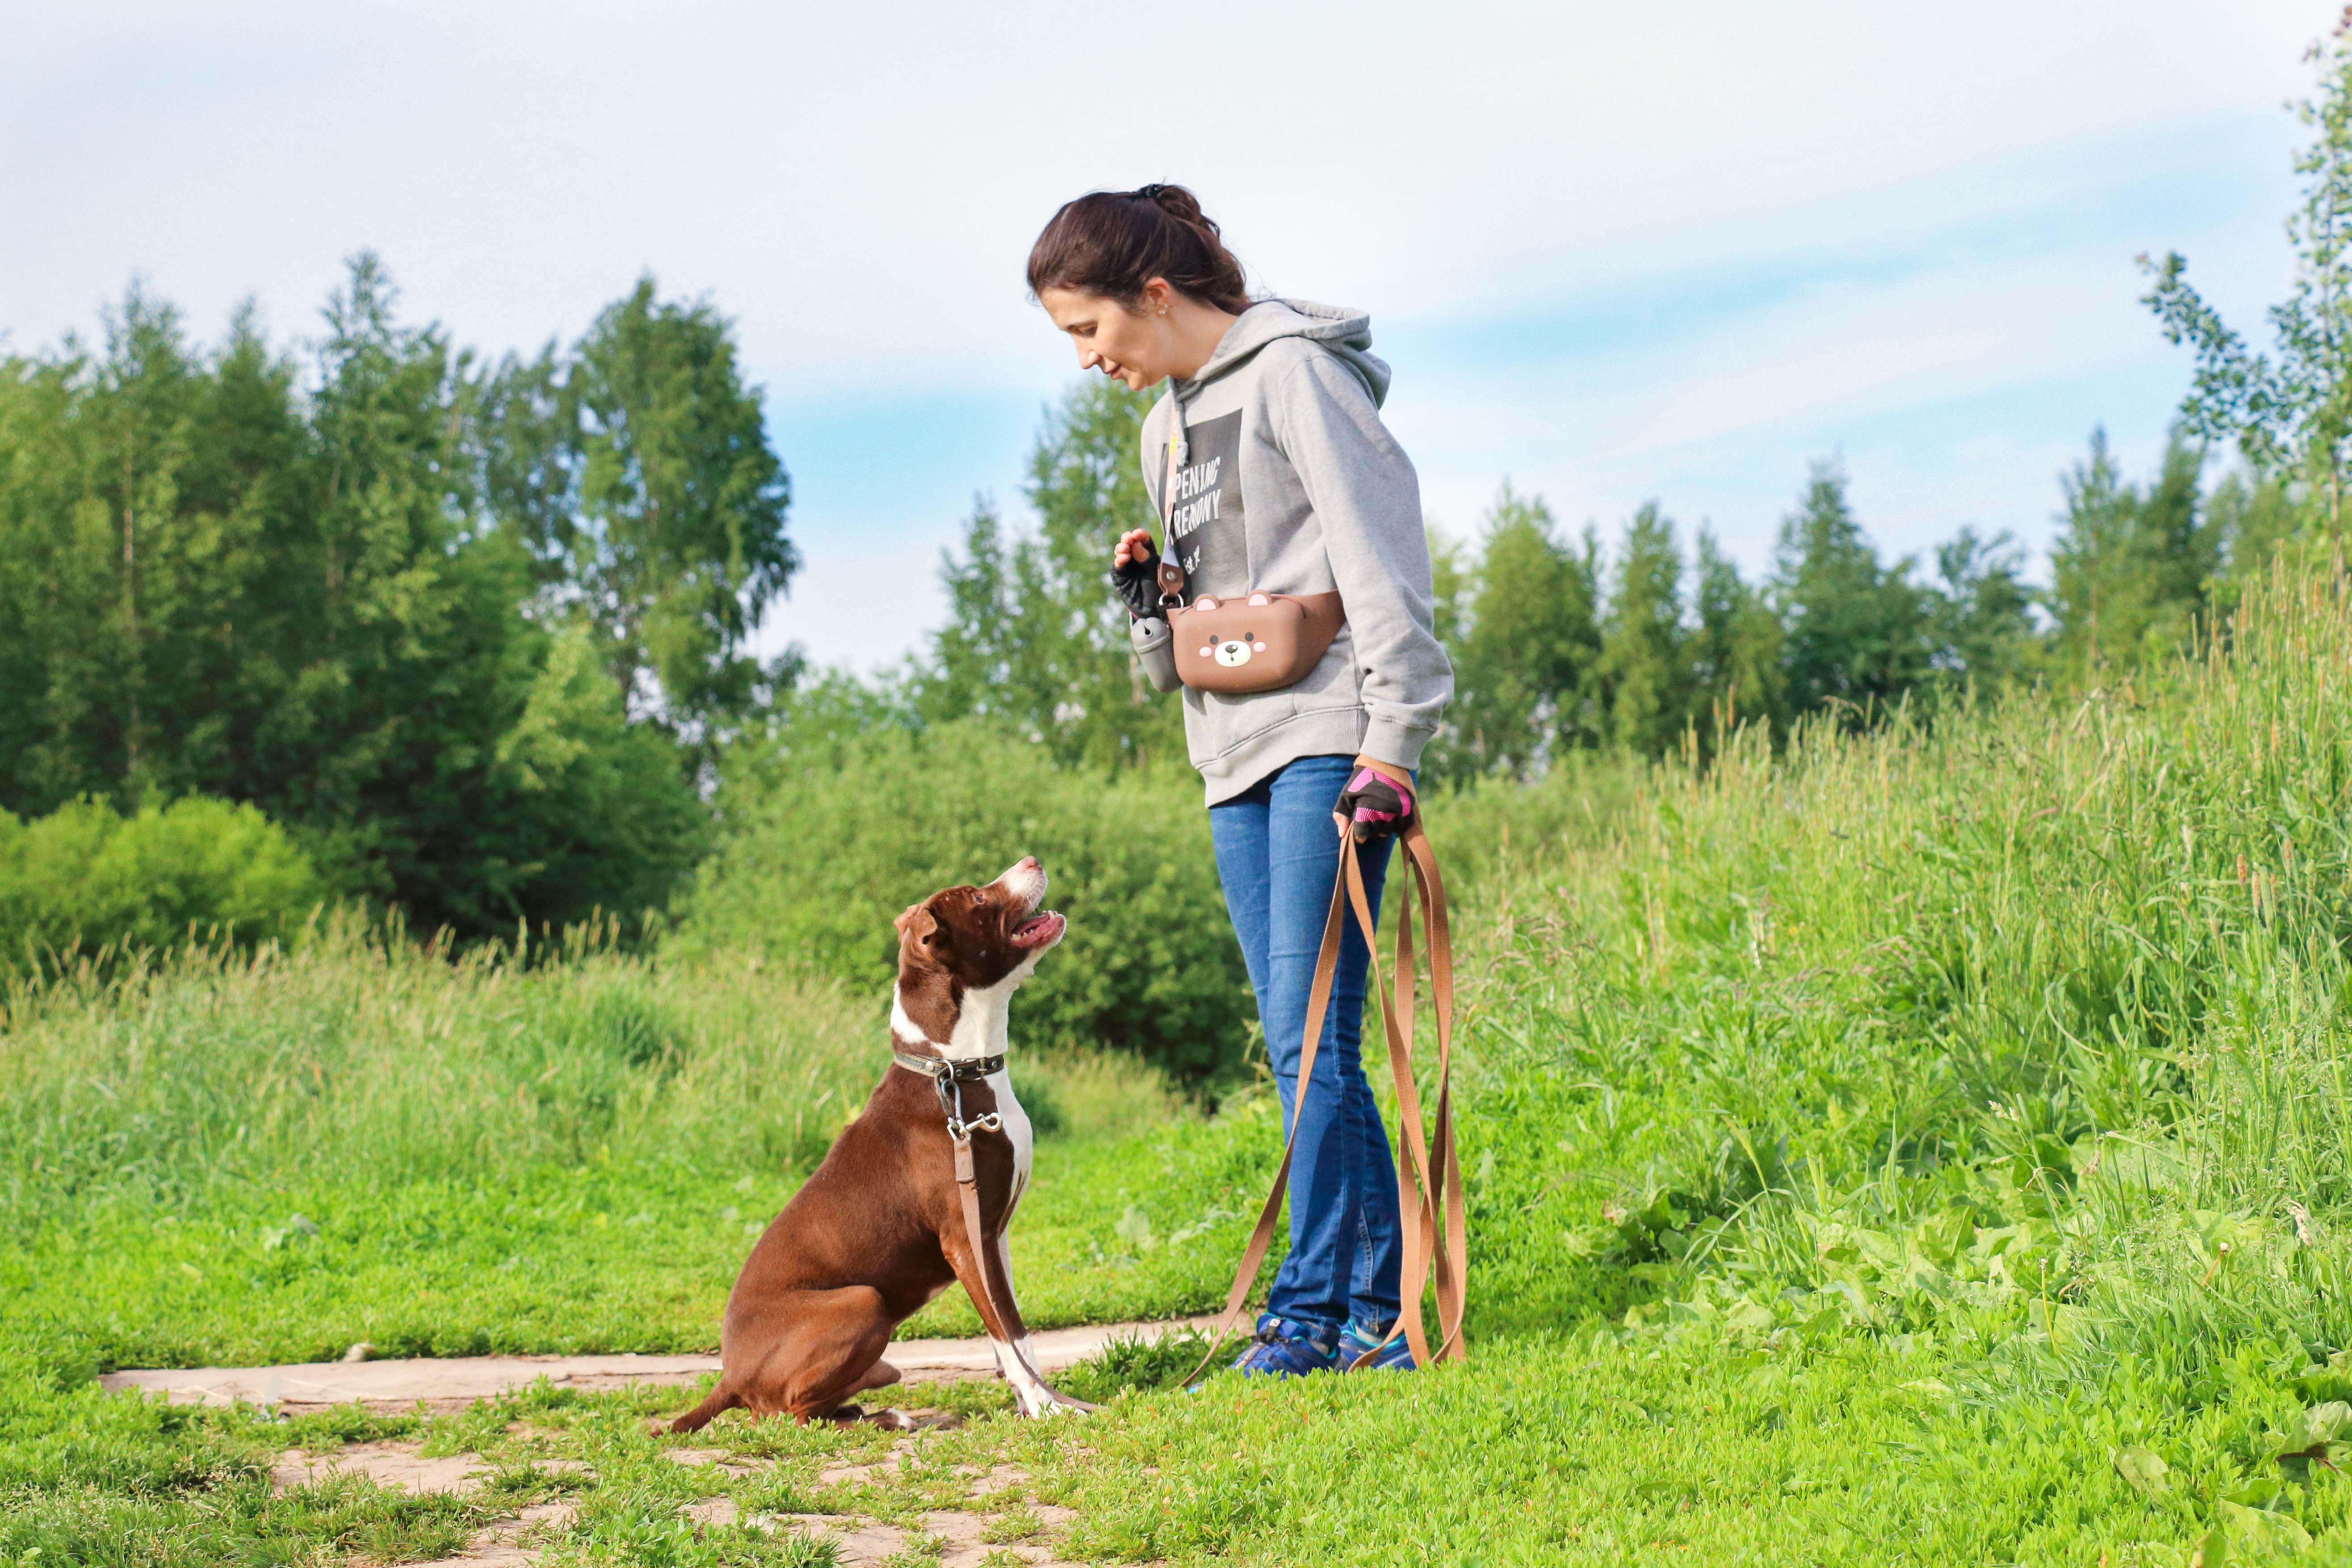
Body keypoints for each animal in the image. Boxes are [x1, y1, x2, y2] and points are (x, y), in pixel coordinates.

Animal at [668, 860, 1086, 1438]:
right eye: (978, 897)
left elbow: (1014, 1334)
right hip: (864, 1301)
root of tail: (729, 1376)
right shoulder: (964, 1238)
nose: (1032, 861)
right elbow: (1007, 1332)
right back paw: (882, 1418)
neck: (953, 1068)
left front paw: (1033, 1403)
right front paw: (1048, 1408)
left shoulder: (992, 1232)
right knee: (790, 1414)